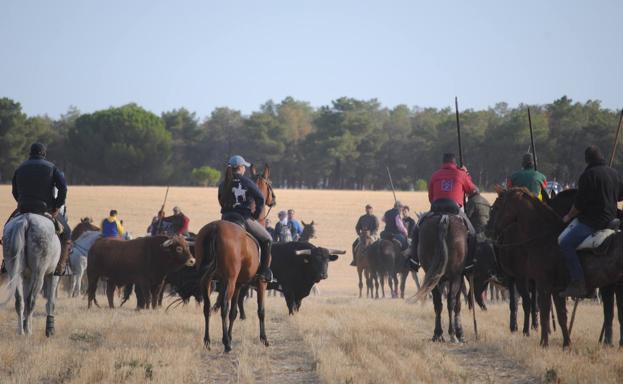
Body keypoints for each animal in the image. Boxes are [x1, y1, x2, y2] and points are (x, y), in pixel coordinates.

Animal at [193, 162, 276, 352]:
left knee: (207, 307)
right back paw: (226, 344)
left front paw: (230, 335)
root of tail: (215, 228)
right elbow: (260, 310)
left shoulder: (238, 283)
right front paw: (264, 338)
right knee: (223, 306)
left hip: (208, 280)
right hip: (230, 280)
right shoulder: (259, 283)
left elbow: (234, 312)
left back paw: (208, 340)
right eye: (269, 184)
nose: (274, 199)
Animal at [414, 214, 468, 344]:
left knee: (438, 303)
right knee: (450, 302)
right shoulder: (459, 278)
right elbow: (457, 304)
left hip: (433, 278)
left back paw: (437, 334)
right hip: (455, 277)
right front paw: (460, 333)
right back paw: (452, 334)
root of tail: (444, 219)